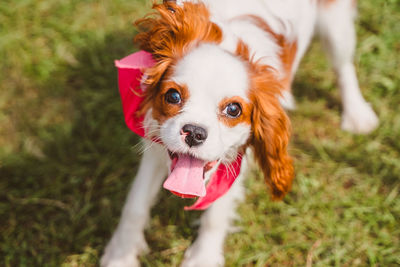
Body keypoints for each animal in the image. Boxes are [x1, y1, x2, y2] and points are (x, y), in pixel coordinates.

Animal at [100, 1, 378, 266]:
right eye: (173, 96)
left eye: (233, 109)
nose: (195, 132)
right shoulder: (156, 144)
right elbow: (136, 203)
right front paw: (121, 255)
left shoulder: (237, 158)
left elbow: (216, 213)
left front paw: (203, 258)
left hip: (336, 25)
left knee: (344, 66)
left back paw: (357, 114)